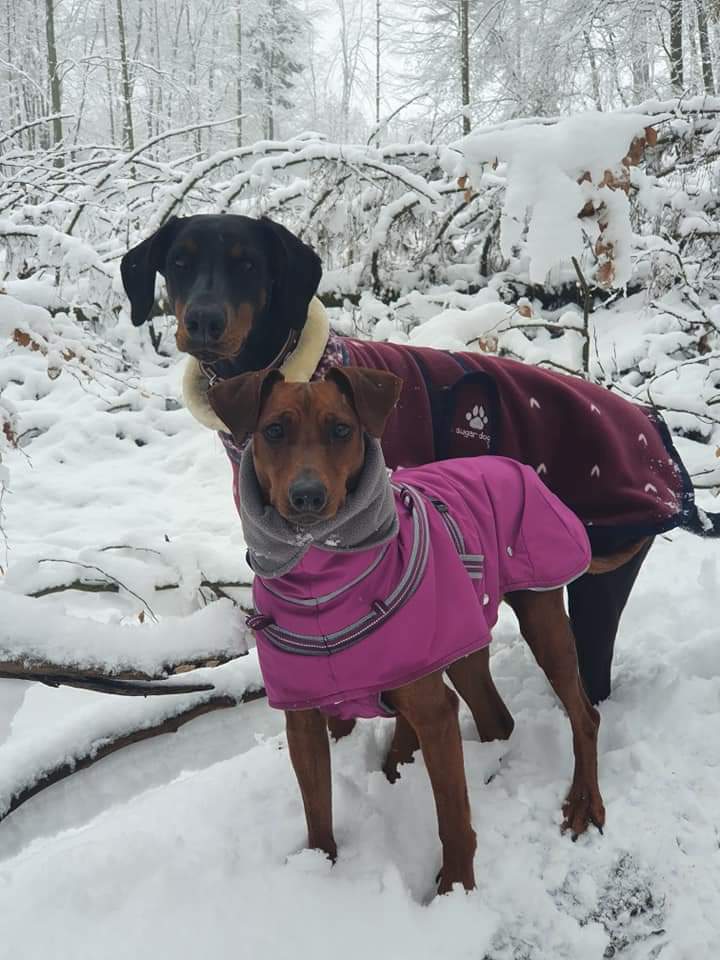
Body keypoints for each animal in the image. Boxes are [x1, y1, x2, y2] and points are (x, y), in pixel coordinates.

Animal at [120, 214, 720, 705]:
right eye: (179, 263)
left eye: (247, 265)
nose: (203, 320)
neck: (299, 368)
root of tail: (656, 436)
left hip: (600, 572)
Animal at [206, 364, 605, 894]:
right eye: (273, 431)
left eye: (342, 430)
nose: (308, 496)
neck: (319, 575)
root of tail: (512, 463)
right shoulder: (303, 717)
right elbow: (317, 810)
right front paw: (319, 871)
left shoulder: (434, 712)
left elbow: (451, 814)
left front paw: (455, 888)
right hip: (462, 640)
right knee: (497, 720)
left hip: (543, 620)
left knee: (584, 714)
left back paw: (583, 800)